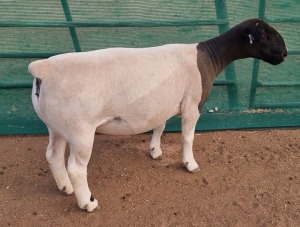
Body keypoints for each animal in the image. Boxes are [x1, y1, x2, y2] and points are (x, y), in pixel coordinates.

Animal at [28, 18, 288, 212]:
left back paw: (65, 188)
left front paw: (155, 151)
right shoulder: (192, 103)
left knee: (53, 155)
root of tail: (43, 70)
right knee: (76, 168)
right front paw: (190, 164)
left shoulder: (163, 103)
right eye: (265, 34)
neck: (206, 56)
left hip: (57, 125)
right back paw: (88, 203)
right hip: (80, 130)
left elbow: (160, 126)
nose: (285, 54)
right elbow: (187, 137)